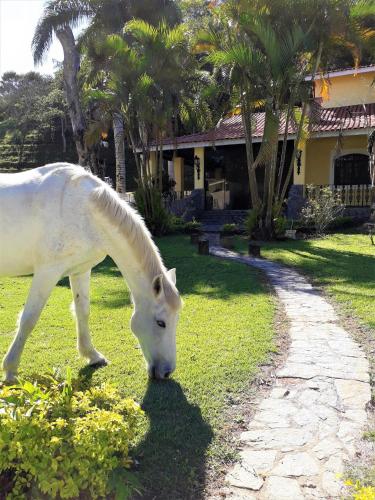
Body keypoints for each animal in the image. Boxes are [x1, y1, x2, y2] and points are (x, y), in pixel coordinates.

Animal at [0, 164, 182, 382]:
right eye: (161, 323)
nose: (167, 372)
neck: (84, 208)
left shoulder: (81, 270)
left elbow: (83, 311)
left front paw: (92, 355)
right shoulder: (47, 272)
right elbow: (28, 319)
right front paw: (10, 370)